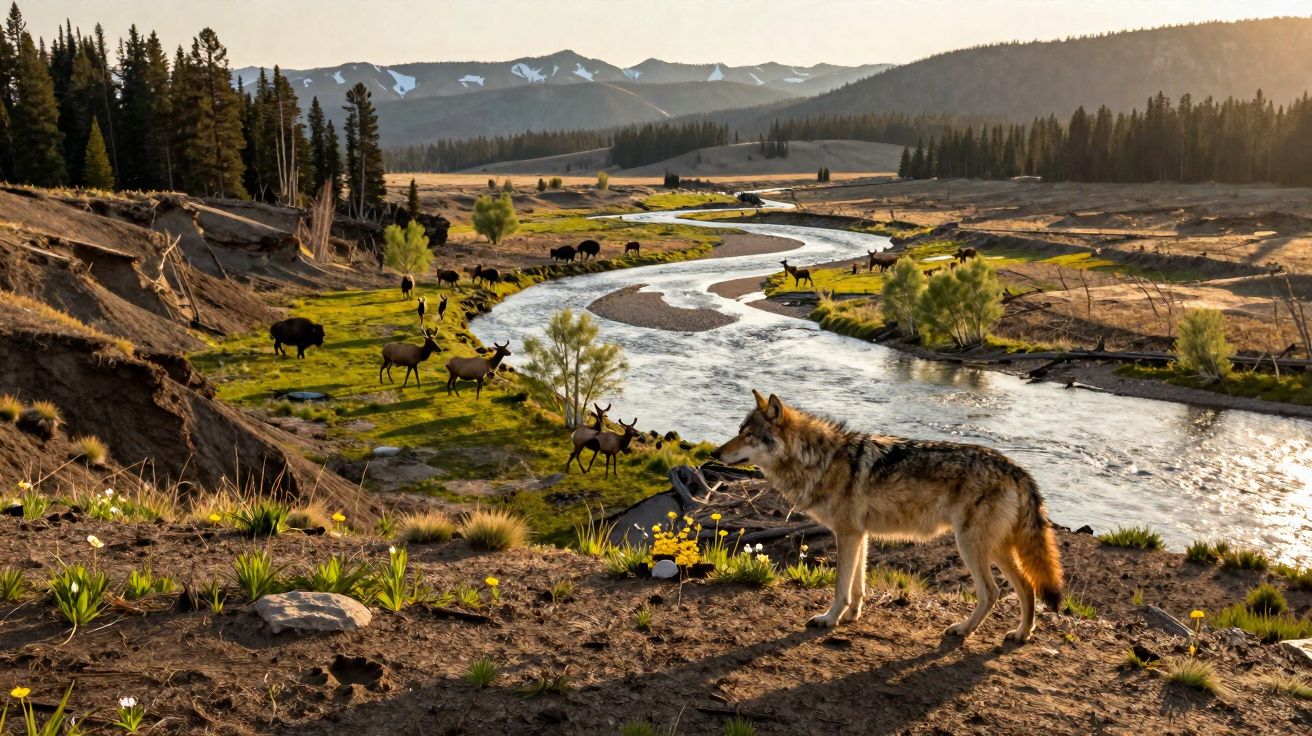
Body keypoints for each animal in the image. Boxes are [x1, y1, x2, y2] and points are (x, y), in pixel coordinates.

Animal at [711, 390, 1064, 642]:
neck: (821, 460)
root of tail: (1017, 470)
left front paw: (829, 619)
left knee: (993, 592)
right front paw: (851, 616)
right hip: (996, 549)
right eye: (739, 431)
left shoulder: (847, 534)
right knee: (1027, 587)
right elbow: (857, 585)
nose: (714, 452)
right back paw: (1021, 634)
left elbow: (840, 588)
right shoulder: (859, 535)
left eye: (748, 435)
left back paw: (963, 630)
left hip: (970, 546)